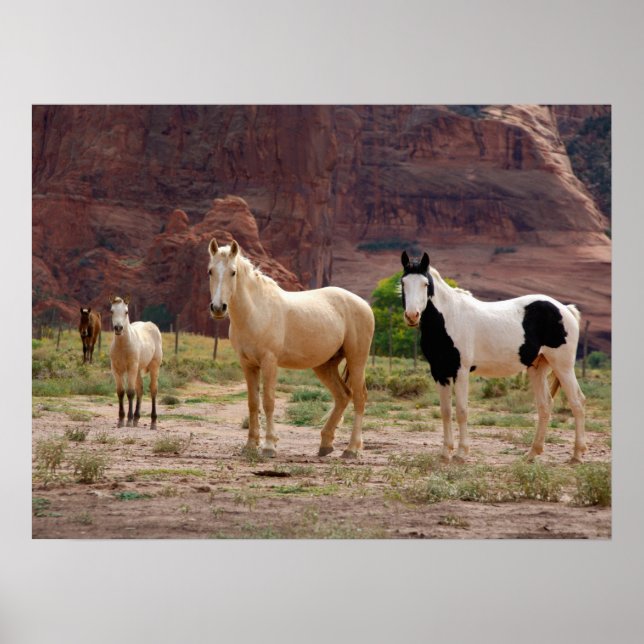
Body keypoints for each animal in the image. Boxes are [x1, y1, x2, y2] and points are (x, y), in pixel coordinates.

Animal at [108, 295, 163, 429]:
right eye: (112, 311)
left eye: (126, 311)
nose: (118, 328)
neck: (123, 346)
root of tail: (152, 326)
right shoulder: (116, 369)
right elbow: (121, 392)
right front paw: (121, 420)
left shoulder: (131, 368)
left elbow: (130, 392)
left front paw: (128, 420)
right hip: (138, 370)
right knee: (140, 389)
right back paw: (136, 418)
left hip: (154, 367)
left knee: (153, 390)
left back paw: (153, 422)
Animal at [207, 239, 375, 459]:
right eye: (210, 271)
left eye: (233, 272)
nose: (218, 308)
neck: (256, 311)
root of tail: (364, 304)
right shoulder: (248, 364)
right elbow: (253, 403)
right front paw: (250, 445)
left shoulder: (269, 362)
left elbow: (268, 401)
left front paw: (269, 446)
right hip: (325, 366)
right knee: (343, 396)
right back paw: (325, 445)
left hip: (357, 360)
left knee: (359, 398)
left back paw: (351, 449)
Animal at [400, 250, 586, 464]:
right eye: (403, 282)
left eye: (425, 283)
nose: (412, 316)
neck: (449, 318)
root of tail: (565, 309)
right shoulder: (440, 372)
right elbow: (445, 412)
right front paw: (445, 453)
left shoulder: (461, 371)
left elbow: (461, 411)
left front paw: (461, 454)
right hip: (538, 368)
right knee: (545, 406)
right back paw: (532, 453)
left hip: (563, 366)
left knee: (577, 402)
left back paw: (577, 455)